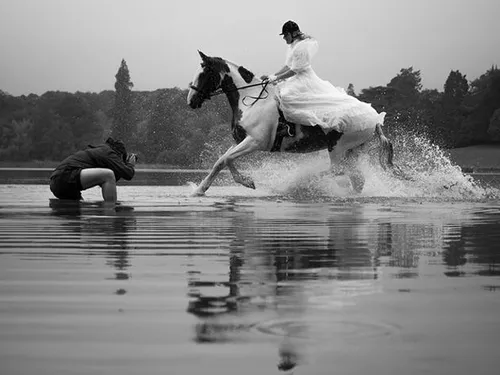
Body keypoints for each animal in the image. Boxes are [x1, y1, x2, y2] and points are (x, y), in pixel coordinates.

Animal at [186, 50, 392, 197]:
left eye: (204, 73)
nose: (191, 101)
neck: (250, 100)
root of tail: (374, 119)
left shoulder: (254, 142)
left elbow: (226, 159)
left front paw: (247, 181)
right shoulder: (240, 140)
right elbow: (221, 161)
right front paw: (199, 190)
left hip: (338, 148)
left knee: (338, 171)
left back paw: (296, 185)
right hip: (352, 151)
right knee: (355, 178)